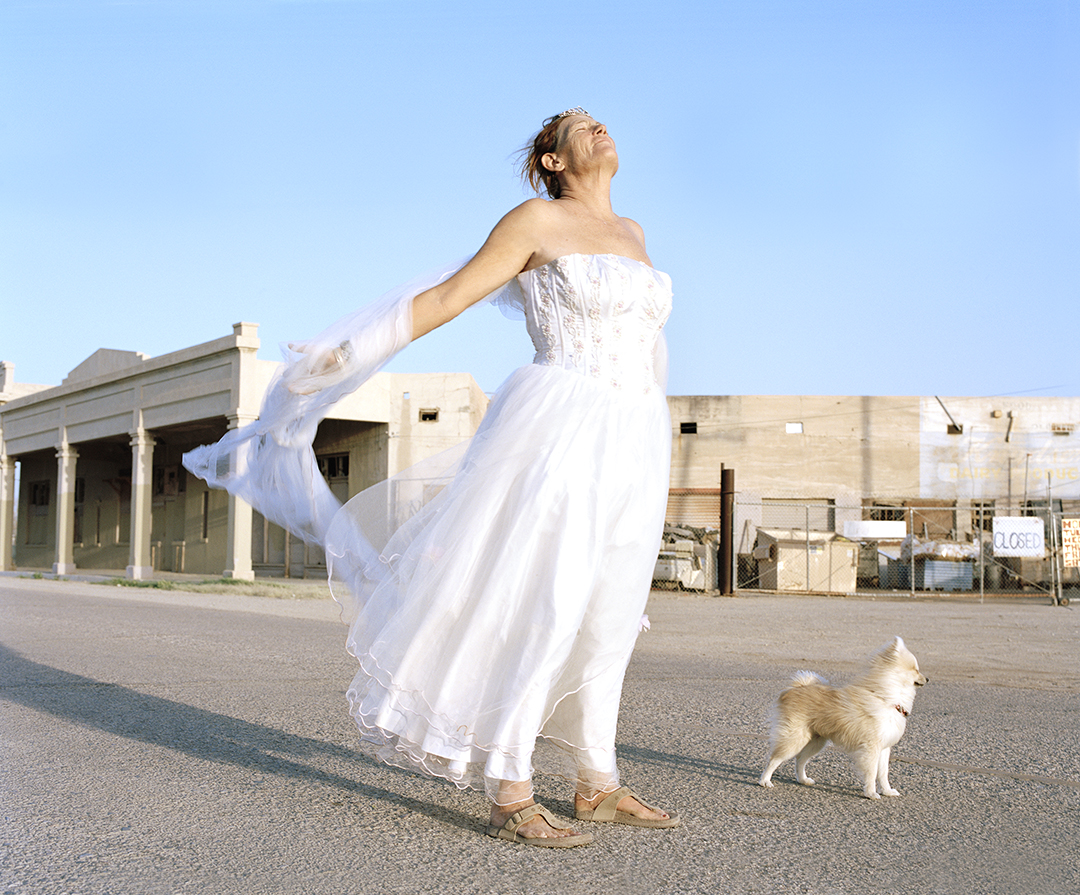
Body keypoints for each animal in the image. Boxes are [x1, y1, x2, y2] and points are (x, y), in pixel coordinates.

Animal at [760, 634, 928, 794]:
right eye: (916, 670)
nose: (927, 678)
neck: (887, 698)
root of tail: (795, 688)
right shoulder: (871, 748)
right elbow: (872, 773)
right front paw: (871, 793)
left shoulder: (884, 748)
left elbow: (883, 774)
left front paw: (887, 791)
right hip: (795, 739)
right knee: (774, 758)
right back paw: (764, 781)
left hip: (815, 742)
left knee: (800, 759)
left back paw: (803, 780)